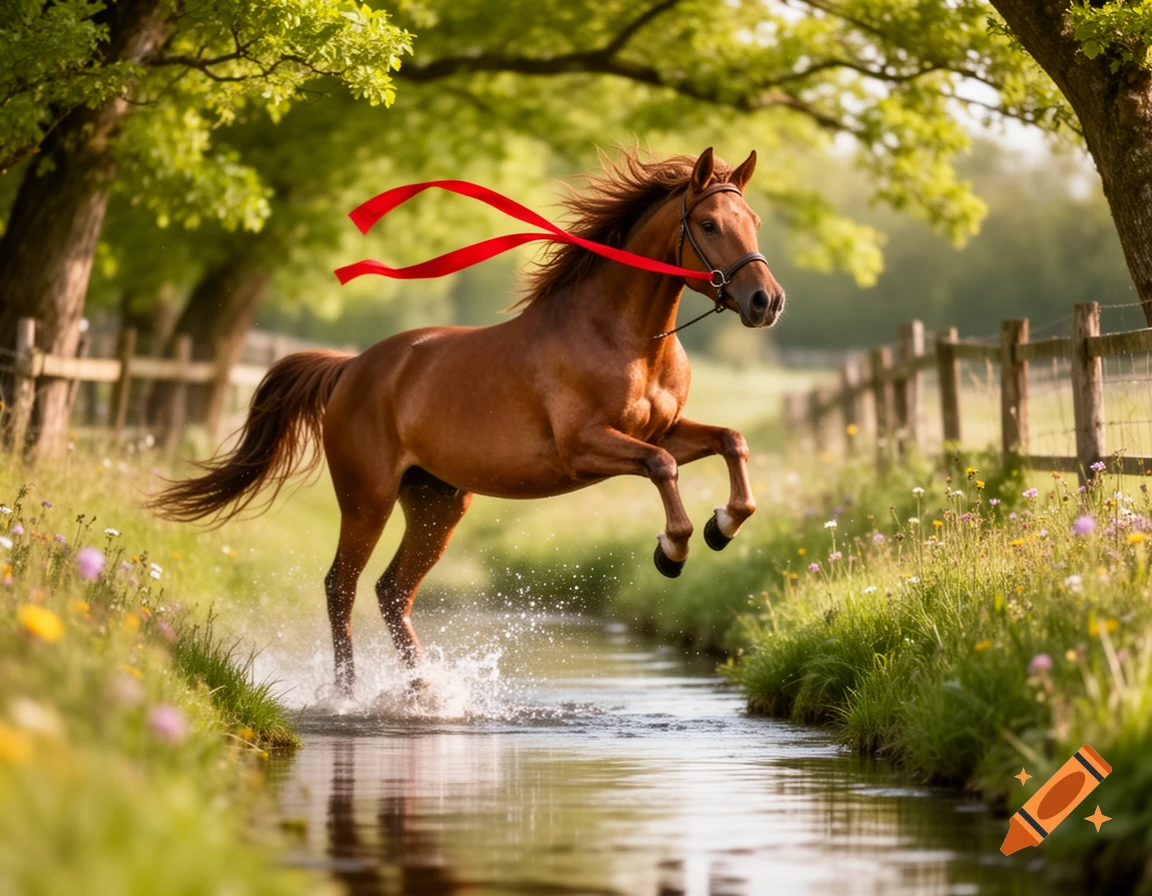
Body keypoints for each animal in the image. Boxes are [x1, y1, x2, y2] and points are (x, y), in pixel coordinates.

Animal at [152, 147, 786, 693]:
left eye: (754, 219)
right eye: (709, 224)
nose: (767, 302)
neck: (628, 338)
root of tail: (352, 367)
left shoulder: (663, 430)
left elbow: (731, 440)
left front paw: (723, 525)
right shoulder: (585, 448)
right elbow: (660, 468)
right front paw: (672, 550)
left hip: (437, 503)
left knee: (391, 591)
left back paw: (424, 693)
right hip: (367, 499)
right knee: (342, 586)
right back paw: (349, 693)